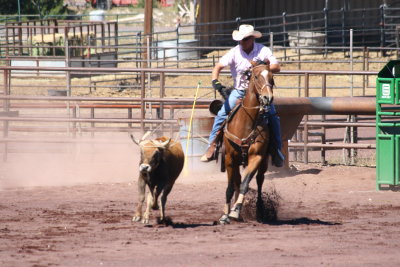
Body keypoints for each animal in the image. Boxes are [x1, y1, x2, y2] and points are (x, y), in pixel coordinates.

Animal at [219, 60, 276, 224]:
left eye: (272, 77)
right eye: (256, 76)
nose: (267, 98)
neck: (246, 123)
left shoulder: (256, 157)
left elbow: (245, 184)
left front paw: (236, 211)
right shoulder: (229, 158)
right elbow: (231, 187)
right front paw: (225, 214)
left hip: (263, 163)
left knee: (258, 180)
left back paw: (259, 210)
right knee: (237, 181)